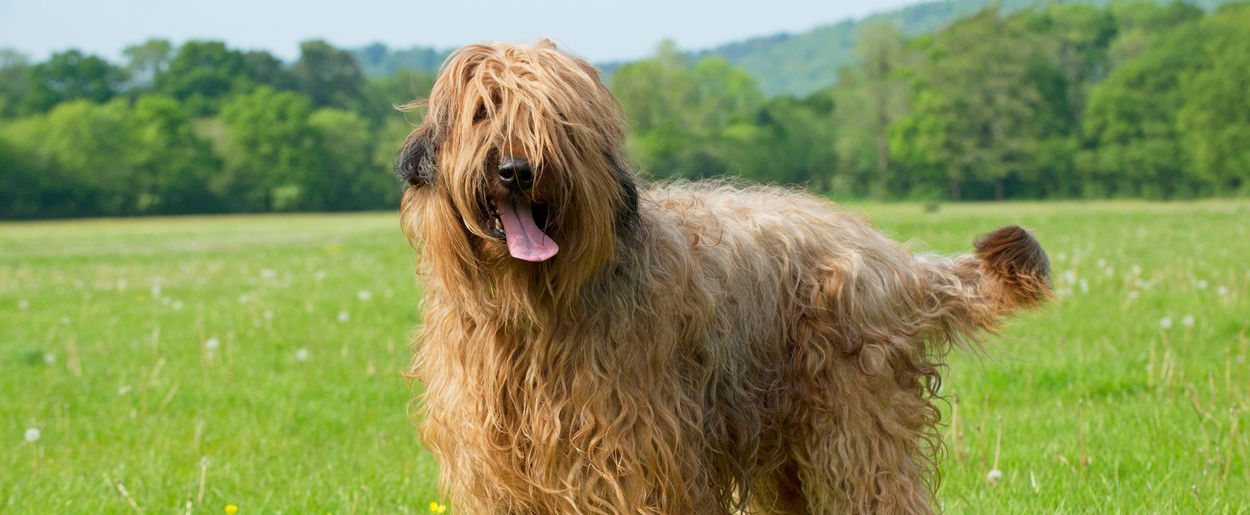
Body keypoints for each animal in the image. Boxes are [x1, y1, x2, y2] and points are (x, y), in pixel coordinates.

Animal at [395, 38, 1050, 512]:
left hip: (856, 429)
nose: (516, 170)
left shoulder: (630, 457)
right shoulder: (499, 467)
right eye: (484, 112)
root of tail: (894, 259)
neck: (533, 308)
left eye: (555, 120)